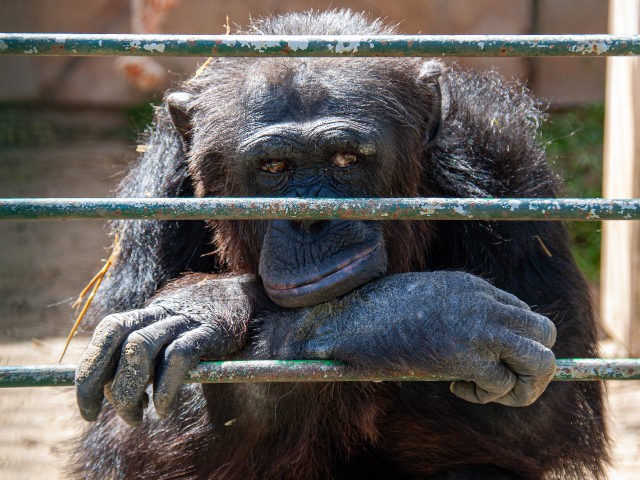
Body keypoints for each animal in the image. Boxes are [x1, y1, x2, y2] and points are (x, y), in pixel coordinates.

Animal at [69, 8, 604, 480]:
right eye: (274, 168)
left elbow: (536, 412)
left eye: (346, 159)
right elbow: (131, 434)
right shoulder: (158, 192)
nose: (312, 219)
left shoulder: (505, 167)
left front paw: (417, 316)